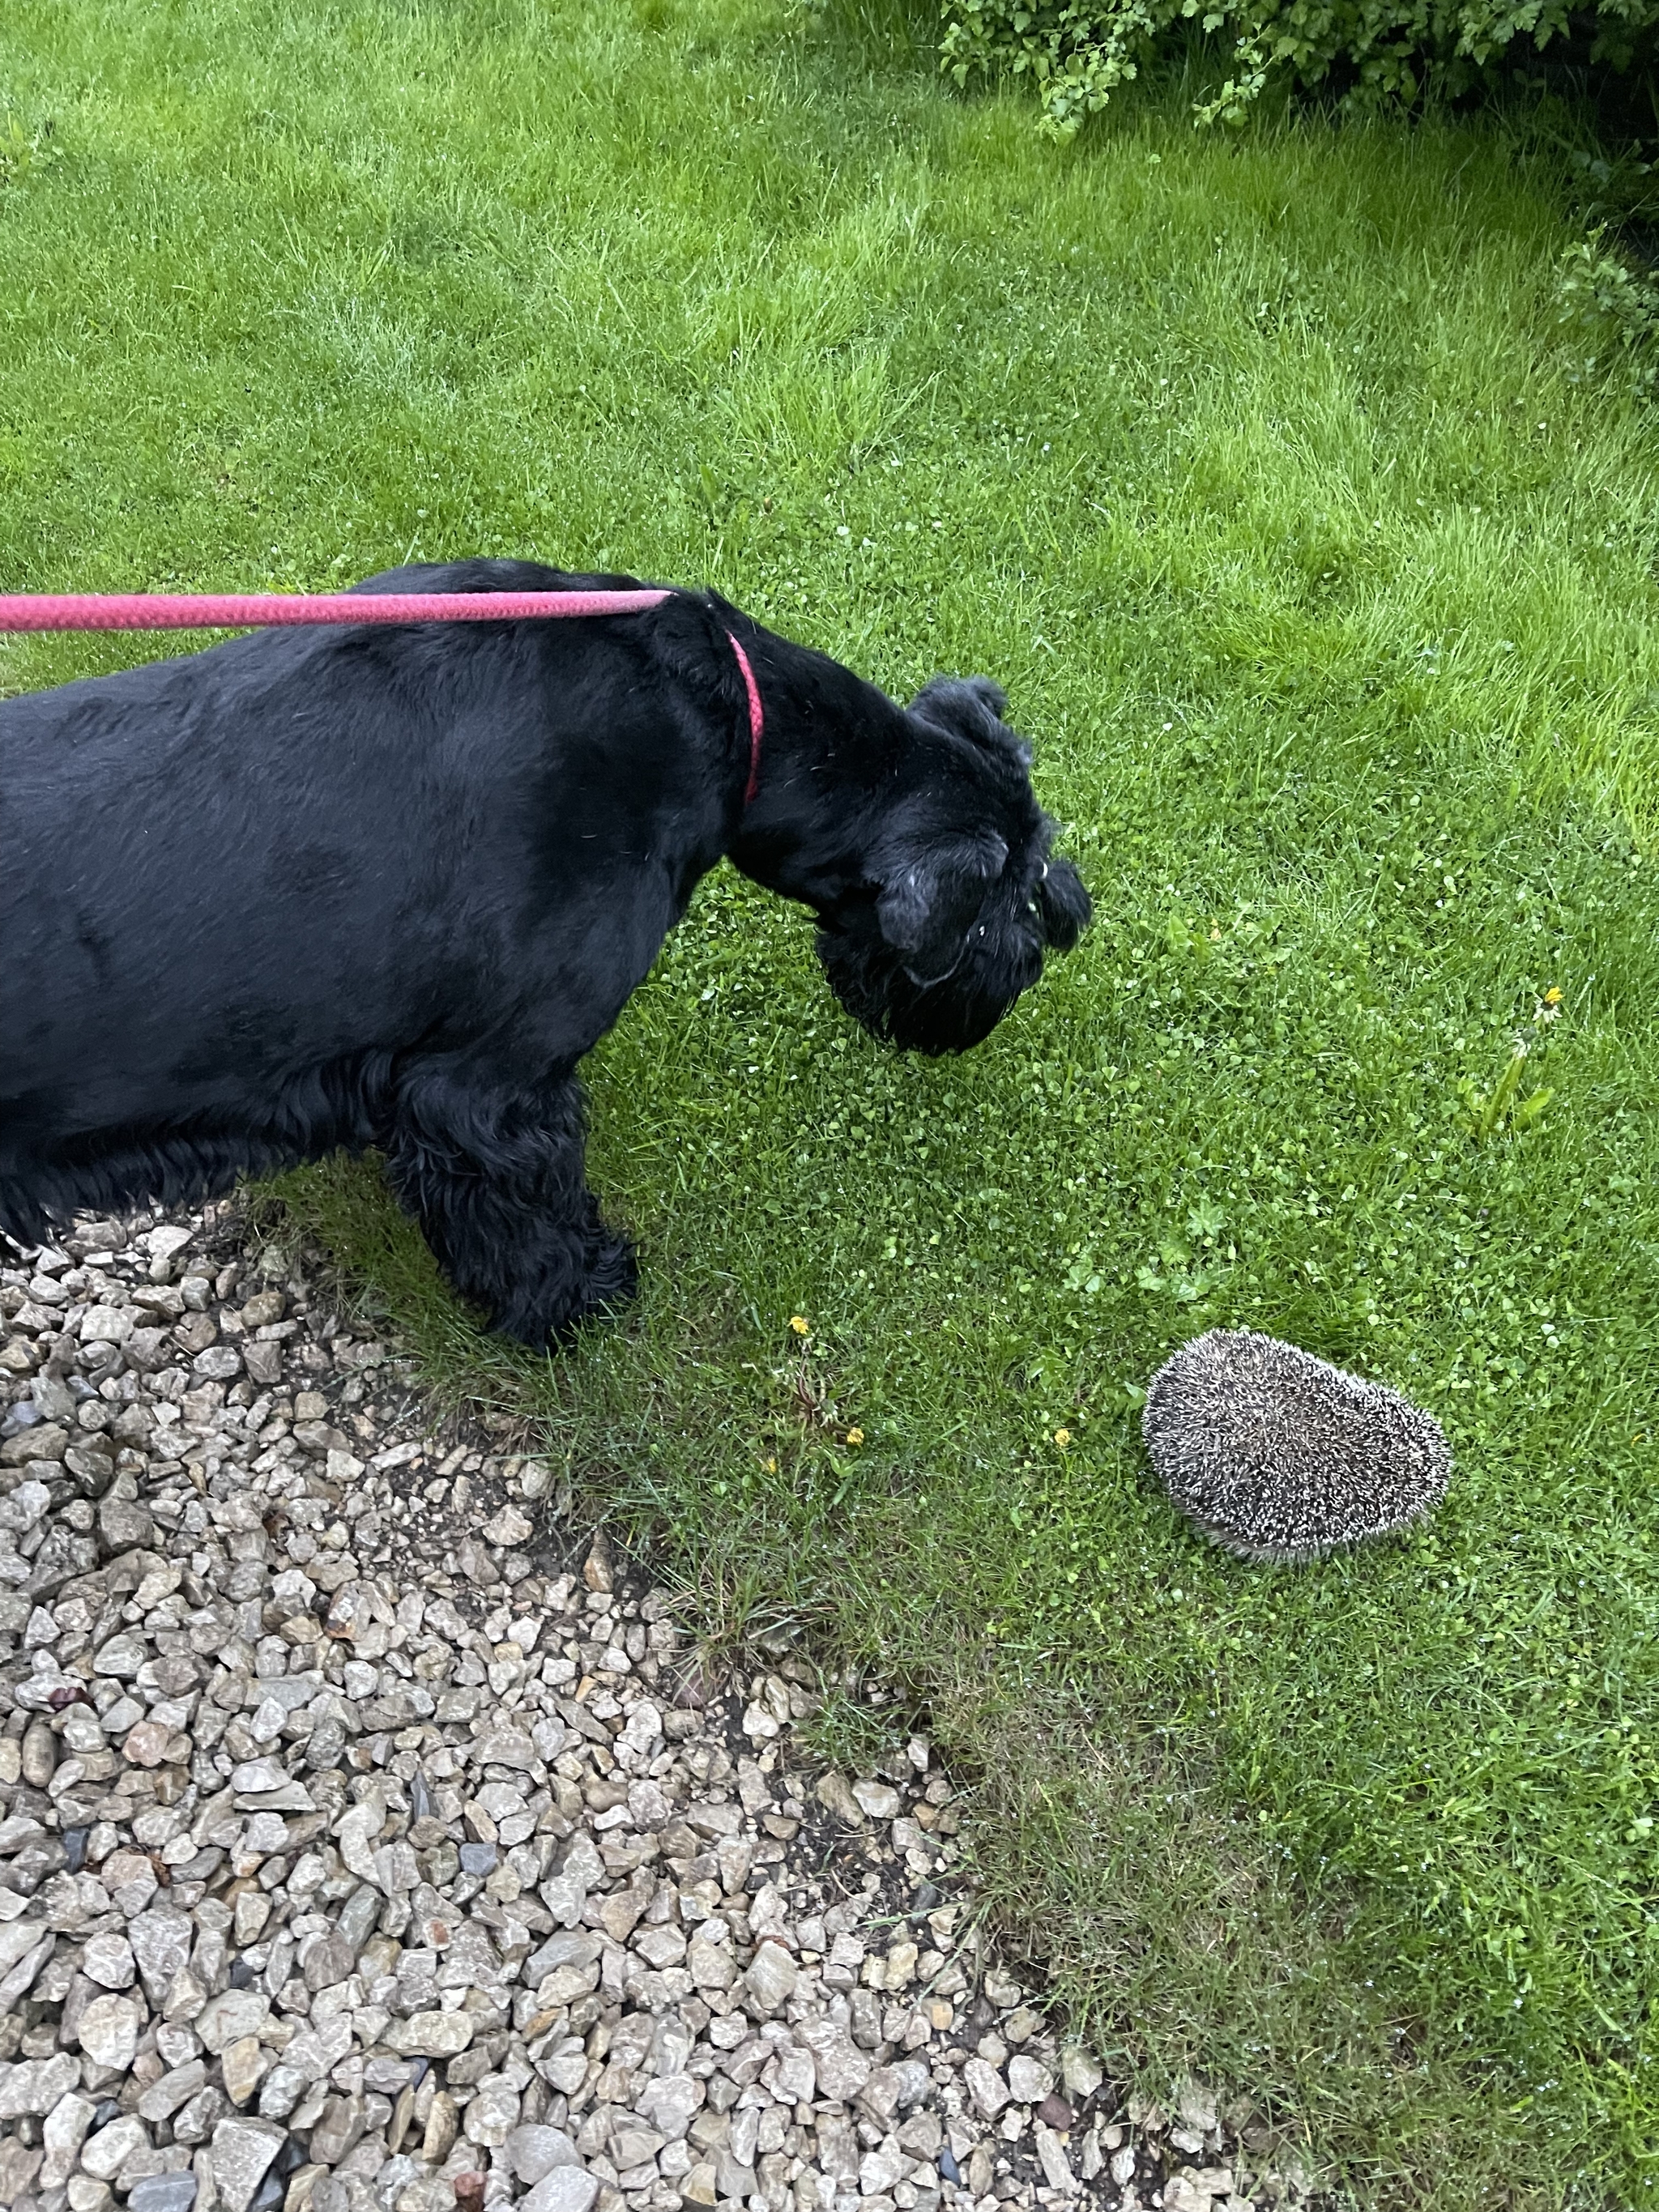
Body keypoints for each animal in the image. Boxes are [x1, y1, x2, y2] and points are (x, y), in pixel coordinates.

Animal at [3, 561, 1092, 1336]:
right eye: (1009, 898)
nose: (1060, 932)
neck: (727, 719)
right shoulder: (492, 1083)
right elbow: (523, 1206)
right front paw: (575, 1293)